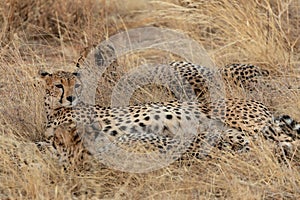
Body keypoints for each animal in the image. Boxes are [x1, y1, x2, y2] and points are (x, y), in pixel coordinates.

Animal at [38, 63, 298, 167]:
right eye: (59, 85)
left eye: (76, 85)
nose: (71, 97)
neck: (54, 109)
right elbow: (45, 143)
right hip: (236, 131)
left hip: (249, 123)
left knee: (285, 140)